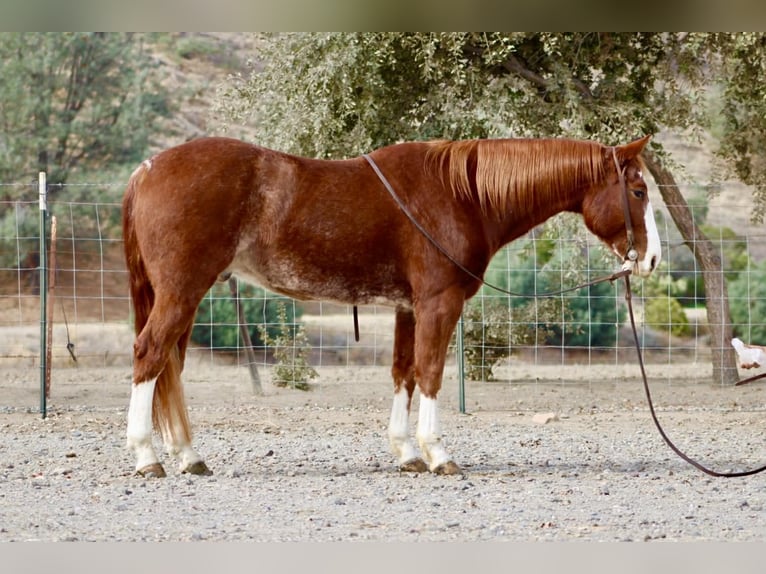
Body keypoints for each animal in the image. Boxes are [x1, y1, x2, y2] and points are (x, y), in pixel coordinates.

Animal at [121, 134, 661, 477]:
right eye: (637, 190)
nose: (652, 257)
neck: (462, 195)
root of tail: (147, 170)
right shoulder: (438, 305)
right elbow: (431, 372)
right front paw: (438, 453)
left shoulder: (408, 308)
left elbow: (404, 373)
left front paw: (406, 454)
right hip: (181, 293)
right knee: (150, 355)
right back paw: (147, 457)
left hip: (185, 297)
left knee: (170, 367)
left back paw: (188, 456)